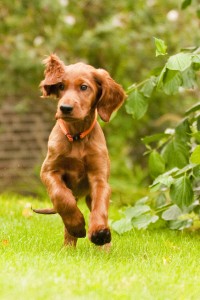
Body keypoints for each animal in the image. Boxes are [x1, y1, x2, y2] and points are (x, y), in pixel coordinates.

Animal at [33, 54, 126, 246]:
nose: (65, 108)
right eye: (61, 86)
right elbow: (62, 197)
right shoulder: (49, 171)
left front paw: (99, 232)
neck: (76, 136)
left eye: (84, 87)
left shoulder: (99, 178)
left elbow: (100, 205)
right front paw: (76, 225)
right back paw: (68, 246)